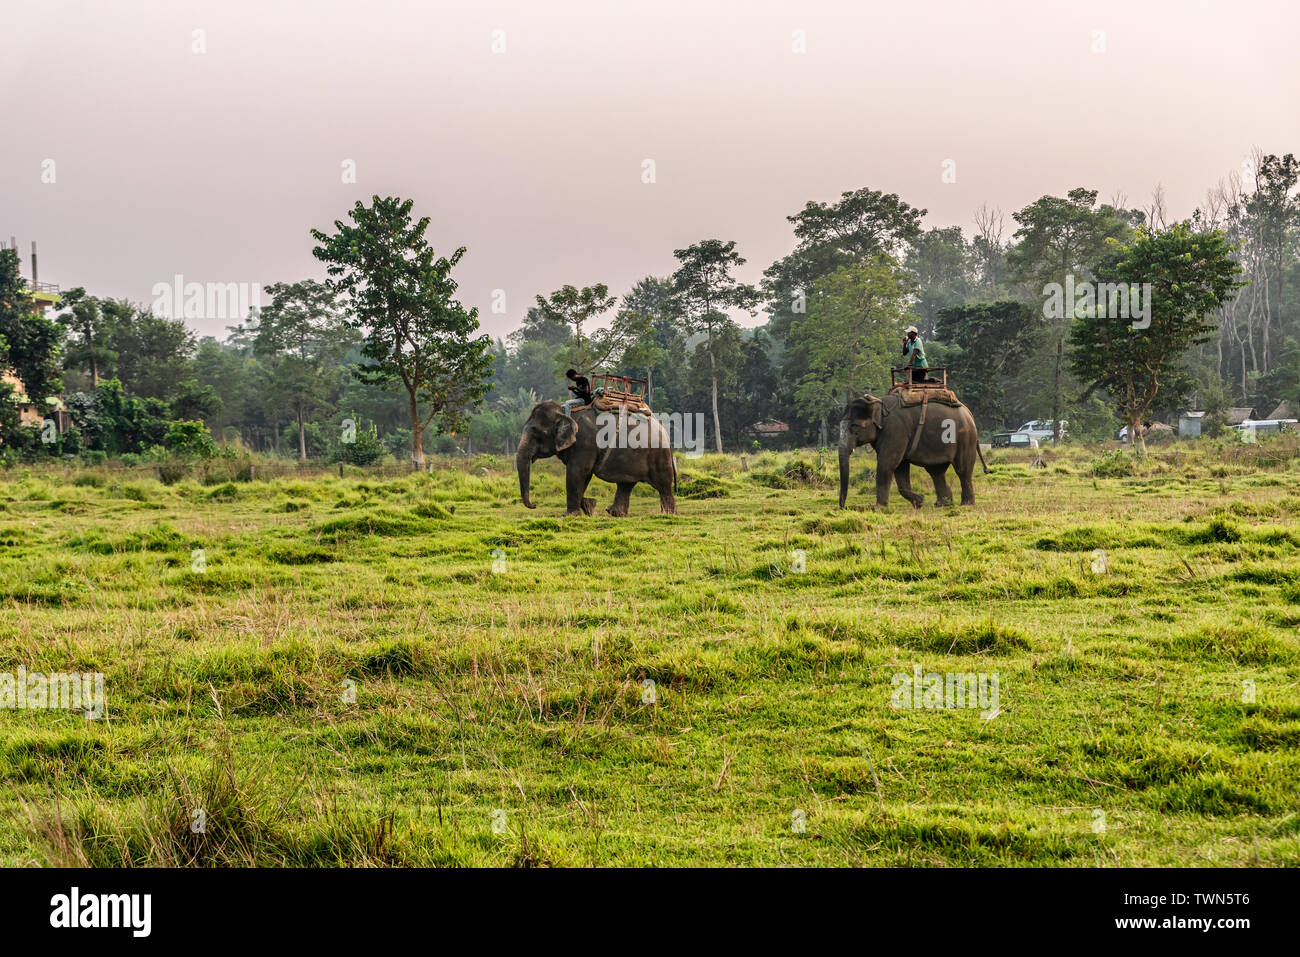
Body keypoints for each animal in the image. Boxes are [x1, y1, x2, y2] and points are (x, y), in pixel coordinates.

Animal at [516, 400, 678, 516]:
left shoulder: (585, 442)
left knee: (664, 486)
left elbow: (577, 472)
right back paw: (614, 513)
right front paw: (589, 506)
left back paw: (668, 515)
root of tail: (665, 433)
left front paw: (569, 515)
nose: (534, 505)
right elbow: (583, 476)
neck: (564, 412)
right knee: (626, 484)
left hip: (658, 456)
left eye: (537, 434)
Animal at [838, 392, 989, 509]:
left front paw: (878, 508)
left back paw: (965, 504)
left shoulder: (896, 431)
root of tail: (968, 411)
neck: (877, 402)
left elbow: (887, 463)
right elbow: (900, 467)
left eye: (854, 426)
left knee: (962, 470)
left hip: (965, 438)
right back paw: (942, 504)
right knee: (936, 472)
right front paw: (920, 502)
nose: (844, 507)